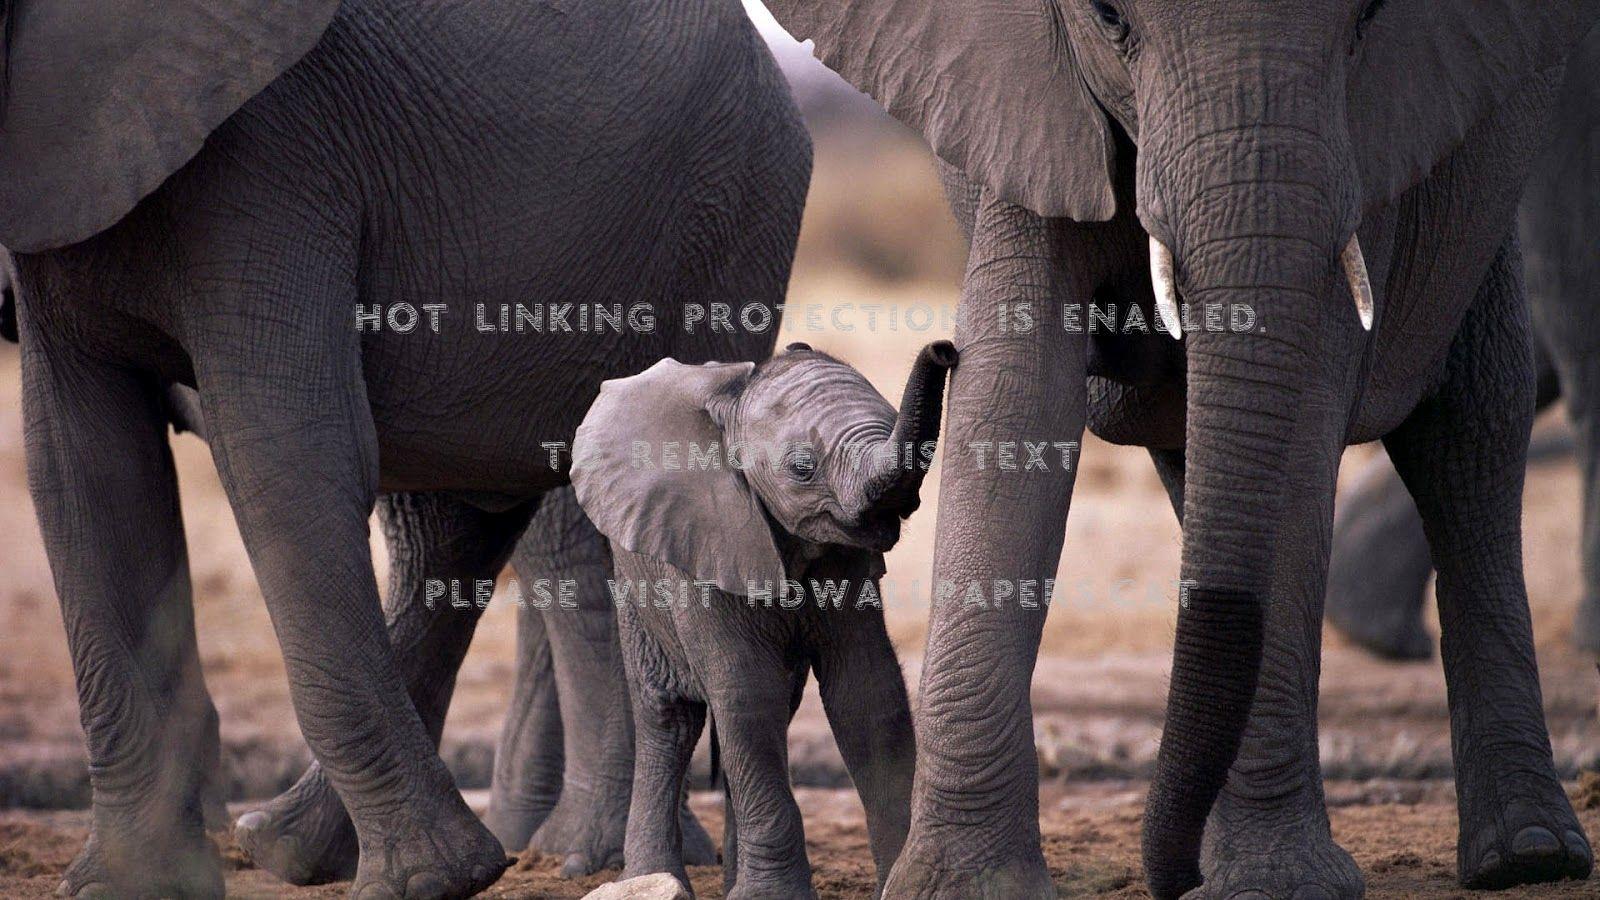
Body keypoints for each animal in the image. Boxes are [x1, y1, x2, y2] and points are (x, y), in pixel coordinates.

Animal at [3, 0, 809, 896]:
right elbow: (85, 474)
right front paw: (130, 885)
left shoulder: (272, 161)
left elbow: (286, 455)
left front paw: (432, 882)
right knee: (462, 520)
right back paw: (288, 846)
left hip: (726, 219)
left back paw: (575, 859)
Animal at [571, 341, 955, 898]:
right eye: (802, 468)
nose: (944, 349)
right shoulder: (703, 543)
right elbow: (747, 693)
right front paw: (773, 896)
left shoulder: (847, 559)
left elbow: (867, 693)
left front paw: (897, 883)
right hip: (635, 577)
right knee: (671, 717)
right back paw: (652, 879)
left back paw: (731, 883)